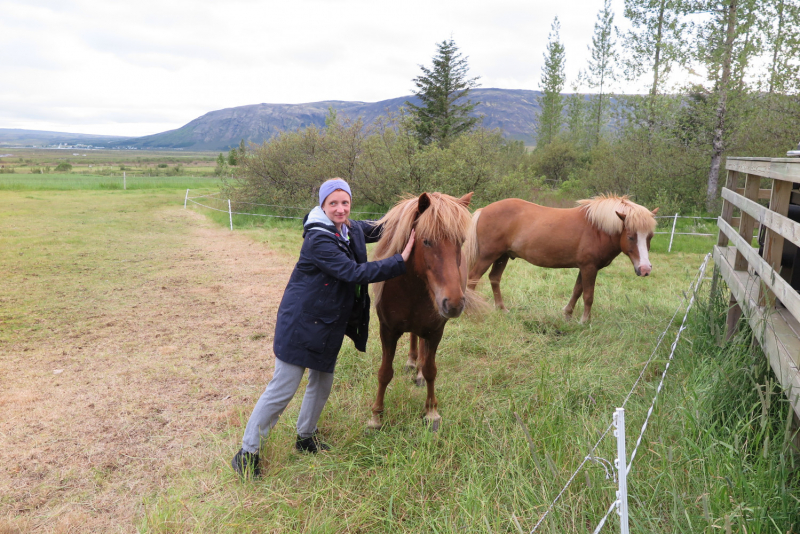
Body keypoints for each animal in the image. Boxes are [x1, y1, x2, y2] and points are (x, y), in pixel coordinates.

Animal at [370, 191, 476, 434]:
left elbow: (430, 370)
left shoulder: (435, 331)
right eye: (426, 241)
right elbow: (384, 372)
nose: (453, 303)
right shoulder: (387, 330)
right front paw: (376, 416)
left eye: (461, 242)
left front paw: (431, 412)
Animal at [462, 196, 656, 324]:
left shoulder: (584, 267)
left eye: (650, 236)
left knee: (494, 278)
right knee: (472, 279)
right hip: (488, 255)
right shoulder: (589, 267)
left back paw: (502, 309)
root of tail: (484, 210)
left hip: (502, 256)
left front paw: (567, 314)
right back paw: (470, 313)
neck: (597, 228)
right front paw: (584, 322)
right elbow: (588, 295)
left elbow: (577, 291)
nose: (645, 269)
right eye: (630, 236)